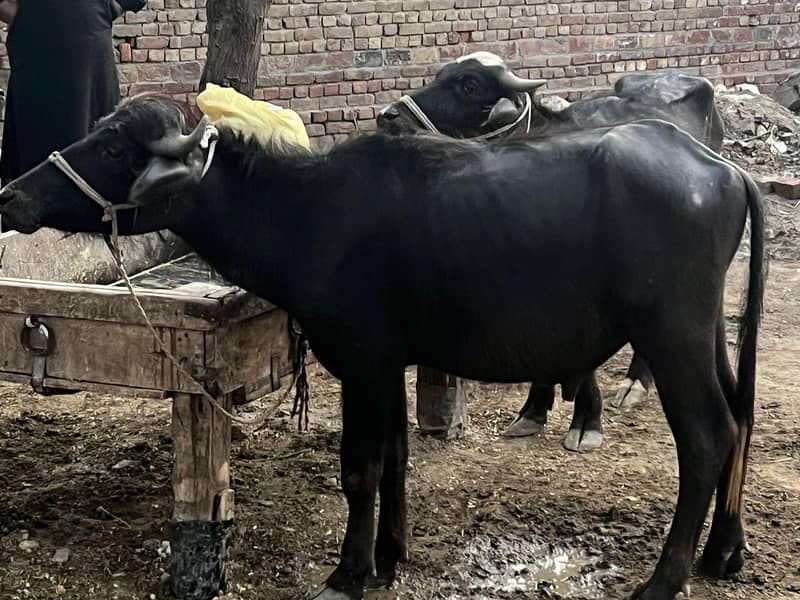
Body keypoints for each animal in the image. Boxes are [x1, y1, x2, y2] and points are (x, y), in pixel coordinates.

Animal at [0, 95, 763, 600]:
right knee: (741, 416)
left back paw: (664, 579)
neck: (306, 212)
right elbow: (397, 456)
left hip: (671, 335)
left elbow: (360, 469)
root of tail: (720, 167)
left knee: (707, 436)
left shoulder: (361, 363)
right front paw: (391, 554)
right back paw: (724, 551)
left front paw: (350, 571)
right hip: (707, 336)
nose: (12, 194)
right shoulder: (390, 363)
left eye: (113, 147)